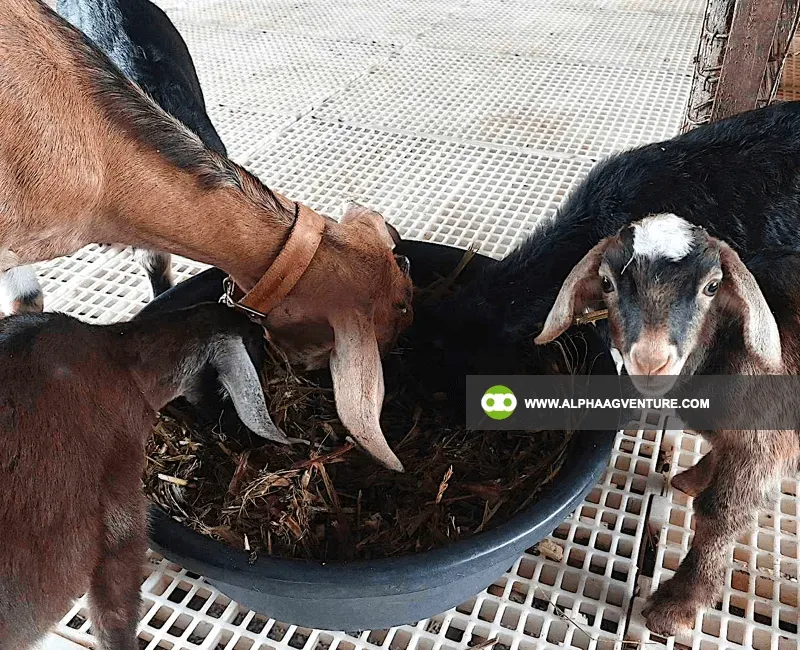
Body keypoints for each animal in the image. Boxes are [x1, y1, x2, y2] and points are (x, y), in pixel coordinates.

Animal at [535, 213, 800, 636]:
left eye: (712, 286)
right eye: (607, 282)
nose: (651, 360)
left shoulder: (763, 446)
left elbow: (720, 514)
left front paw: (678, 606)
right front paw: (692, 478)